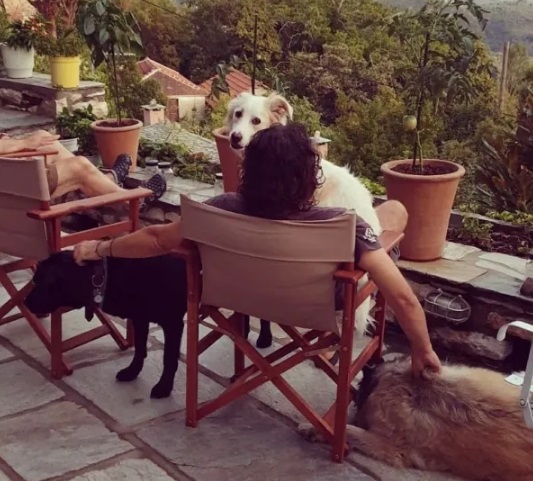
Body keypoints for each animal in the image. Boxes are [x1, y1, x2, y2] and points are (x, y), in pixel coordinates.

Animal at [24, 250, 187, 399]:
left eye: (36, 282)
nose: (25, 302)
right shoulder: (140, 318)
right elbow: (140, 350)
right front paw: (132, 372)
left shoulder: (173, 324)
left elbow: (169, 358)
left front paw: (164, 387)